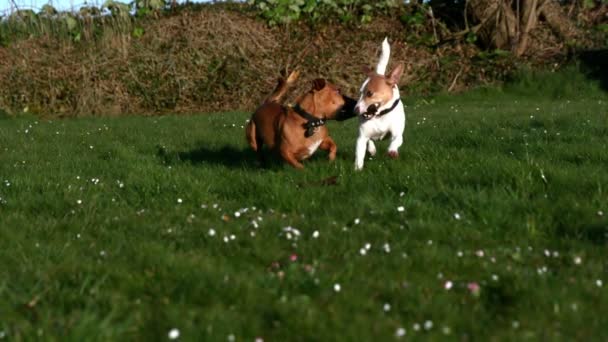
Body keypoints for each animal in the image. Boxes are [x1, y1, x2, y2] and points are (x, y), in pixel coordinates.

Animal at [354, 38, 406, 170]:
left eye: (370, 93)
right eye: (360, 92)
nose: (355, 110)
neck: (380, 116)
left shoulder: (397, 133)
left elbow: (396, 140)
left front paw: (392, 151)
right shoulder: (362, 137)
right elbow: (360, 153)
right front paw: (357, 169)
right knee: (370, 142)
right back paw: (372, 149)